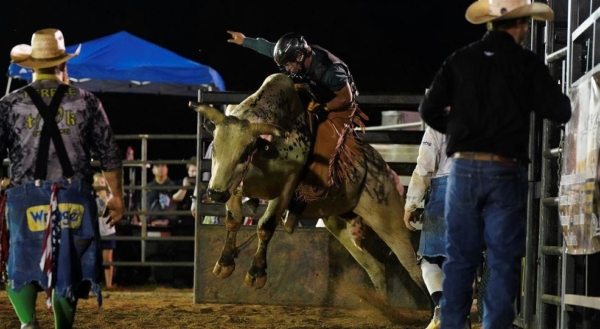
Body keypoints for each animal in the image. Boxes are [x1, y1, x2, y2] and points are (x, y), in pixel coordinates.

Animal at [189, 73, 426, 298]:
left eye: (244, 154)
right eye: (214, 148)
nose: (214, 194)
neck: (264, 151)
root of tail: (388, 172)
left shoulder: (285, 189)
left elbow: (265, 226)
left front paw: (256, 274)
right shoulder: (231, 185)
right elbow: (233, 220)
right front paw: (225, 263)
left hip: (389, 220)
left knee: (413, 268)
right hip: (339, 222)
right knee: (375, 268)